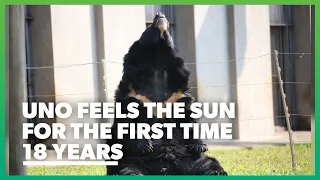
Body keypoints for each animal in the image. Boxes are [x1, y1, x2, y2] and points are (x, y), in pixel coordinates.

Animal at [106, 11, 226, 175]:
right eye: (149, 26)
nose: (159, 13)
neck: (157, 63)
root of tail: (168, 170)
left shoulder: (178, 95)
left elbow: (189, 118)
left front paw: (199, 145)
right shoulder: (132, 93)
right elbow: (126, 121)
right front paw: (145, 145)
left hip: (192, 160)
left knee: (211, 166)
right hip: (131, 162)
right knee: (128, 170)